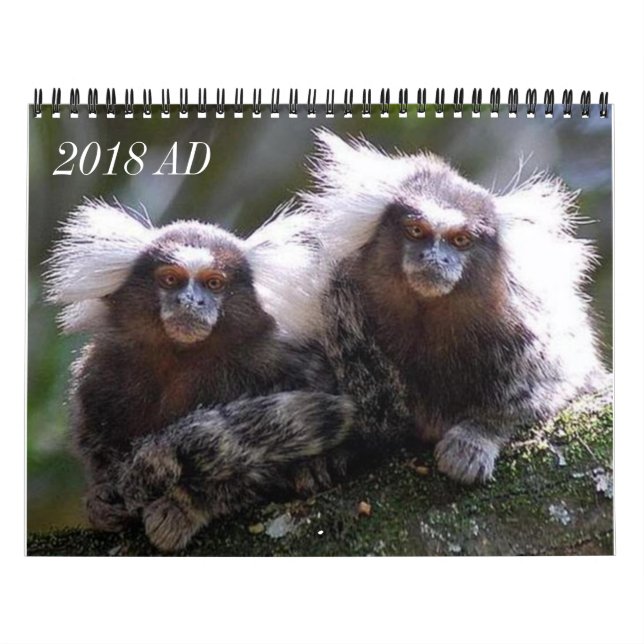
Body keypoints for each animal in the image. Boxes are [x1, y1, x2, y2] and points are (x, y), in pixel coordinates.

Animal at [44, 200, 354, 551]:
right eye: (170, 279)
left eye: (214, 283)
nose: (191, 301)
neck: (181, 357)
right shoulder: (101, 368)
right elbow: (97, 443)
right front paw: (101, 500)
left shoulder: (281, 357)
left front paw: (185, 504)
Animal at [243, 130, 607, 485]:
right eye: (416, 231)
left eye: (460, 240)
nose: (434, 258)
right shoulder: (338, 303)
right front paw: (336, 453)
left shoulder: (530, 326)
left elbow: (550, 384)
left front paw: (478, 436)